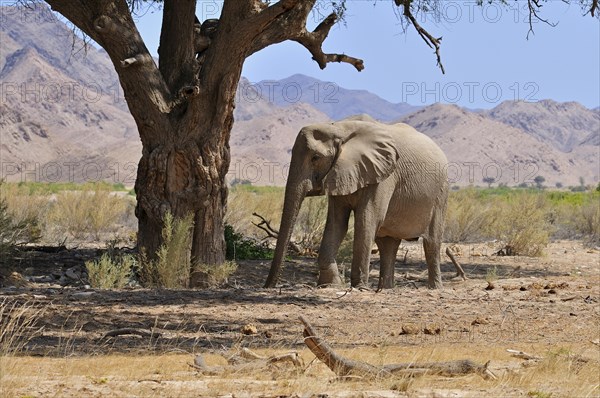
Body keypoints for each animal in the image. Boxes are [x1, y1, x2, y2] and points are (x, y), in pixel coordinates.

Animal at [264, 115, 448, 290]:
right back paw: (386, 289)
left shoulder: (383, 175)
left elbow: (366, 220)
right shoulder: (339, 172)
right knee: (388, 245)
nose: (268, 286)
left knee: (431, 243)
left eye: (315, 158)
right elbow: (337, 223)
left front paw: (359, 288)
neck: (339, 128)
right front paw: (330, 285)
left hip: (440, 194)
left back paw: (435, 288)